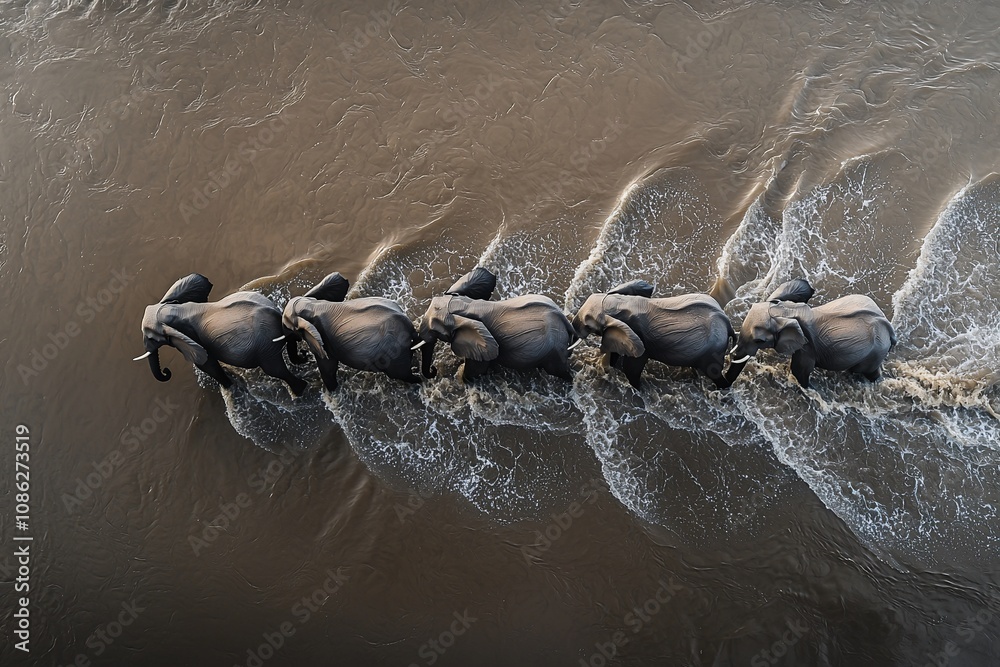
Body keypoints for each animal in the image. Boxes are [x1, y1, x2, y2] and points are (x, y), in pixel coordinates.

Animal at [134, 273, 307, 395]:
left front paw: (230, 386)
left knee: (275, 370)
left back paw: (300, 392)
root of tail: (276, 313)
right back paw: (302, 360)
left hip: (265, 346)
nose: (166, 372)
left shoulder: (193, 339)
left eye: (151, 338)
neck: (170, 309)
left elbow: (208, 365)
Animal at [278, 272, 421, 390]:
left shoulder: (324, 339)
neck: (311, 304)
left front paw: (332, 391)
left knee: (401, 375)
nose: (304, 354)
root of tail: (411, 328)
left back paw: (417, 381)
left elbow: (328, 368)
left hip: (396, 354)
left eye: (289, 328)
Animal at [416, 267, 576, 381]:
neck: (464, 304)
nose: (434, 370)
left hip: (554, 350)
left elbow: (472, 373)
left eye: (435, 331)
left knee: (560, 371)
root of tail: (565, 319)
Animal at [571, 280, 736, 389]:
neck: (621, 302)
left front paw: (637, 388)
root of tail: (727, 323)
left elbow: (632, 368)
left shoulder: (640, 337)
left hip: (712, 353)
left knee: (715, 375)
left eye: (588, 325)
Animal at [725, 279, 897, 388]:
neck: (785, 311)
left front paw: (811, 388)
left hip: (875, 352)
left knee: (865, 371)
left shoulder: (807, 346)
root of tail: (889, 328)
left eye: (759, 341)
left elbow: (799, 372)